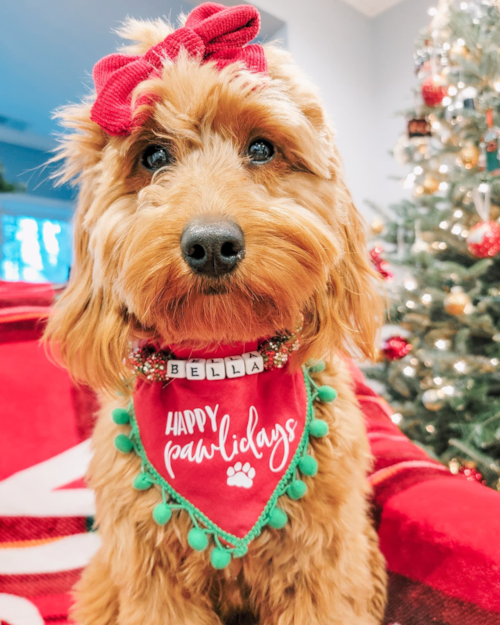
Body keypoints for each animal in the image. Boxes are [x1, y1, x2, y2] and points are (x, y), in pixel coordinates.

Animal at [45, 2, 386, 620]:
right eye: (153, 155)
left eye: (262, 148)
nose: (210, 245)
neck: (222, 367)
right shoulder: (151, 577)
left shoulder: (323, 564)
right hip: (102, 582)